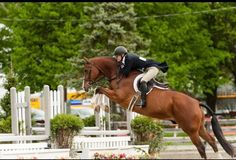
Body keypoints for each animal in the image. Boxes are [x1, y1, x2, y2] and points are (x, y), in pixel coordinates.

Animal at [82, 55, 235, 158]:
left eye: (86, 70)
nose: (84, 87)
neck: (119, 74)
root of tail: (197, 103)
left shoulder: (119, 97)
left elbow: (100, 89)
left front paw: (96, 103)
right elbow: (100, 90)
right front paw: (98, 104)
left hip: (190, 130)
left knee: (201, 147)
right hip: (199, 127)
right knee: (212, 141)